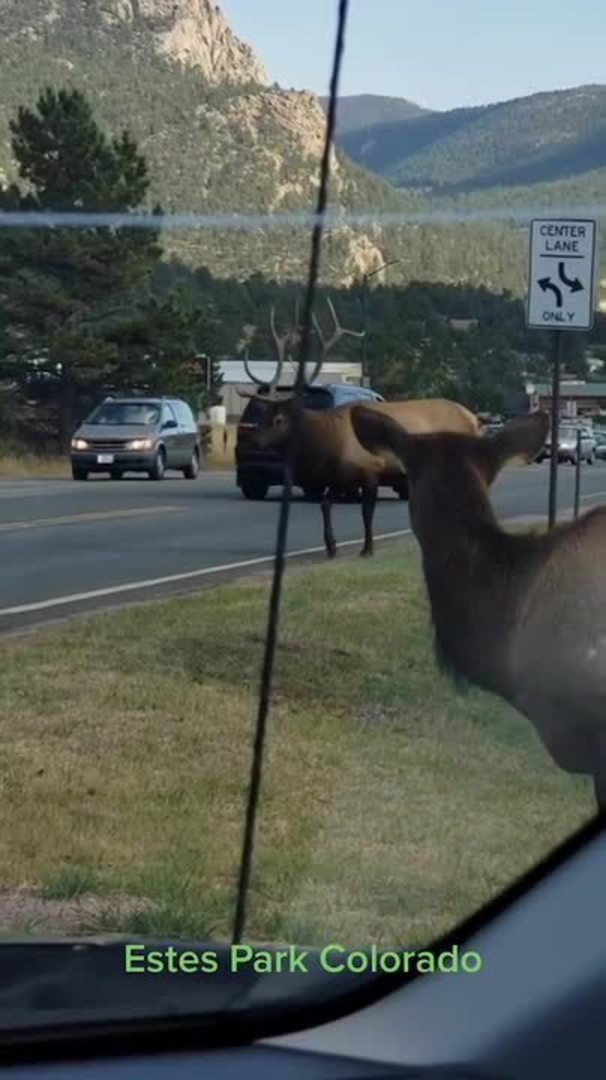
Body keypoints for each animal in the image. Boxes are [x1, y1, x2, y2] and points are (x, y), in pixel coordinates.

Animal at [240, 297, 480, 559]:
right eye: (263, 414)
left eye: (279, 419)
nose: (252, 439)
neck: (329, 440)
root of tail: (474, 419)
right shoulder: (340, 477)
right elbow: (325, 504)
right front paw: (331, 547)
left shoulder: (371, 468)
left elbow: (366, 512)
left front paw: (367, 548)